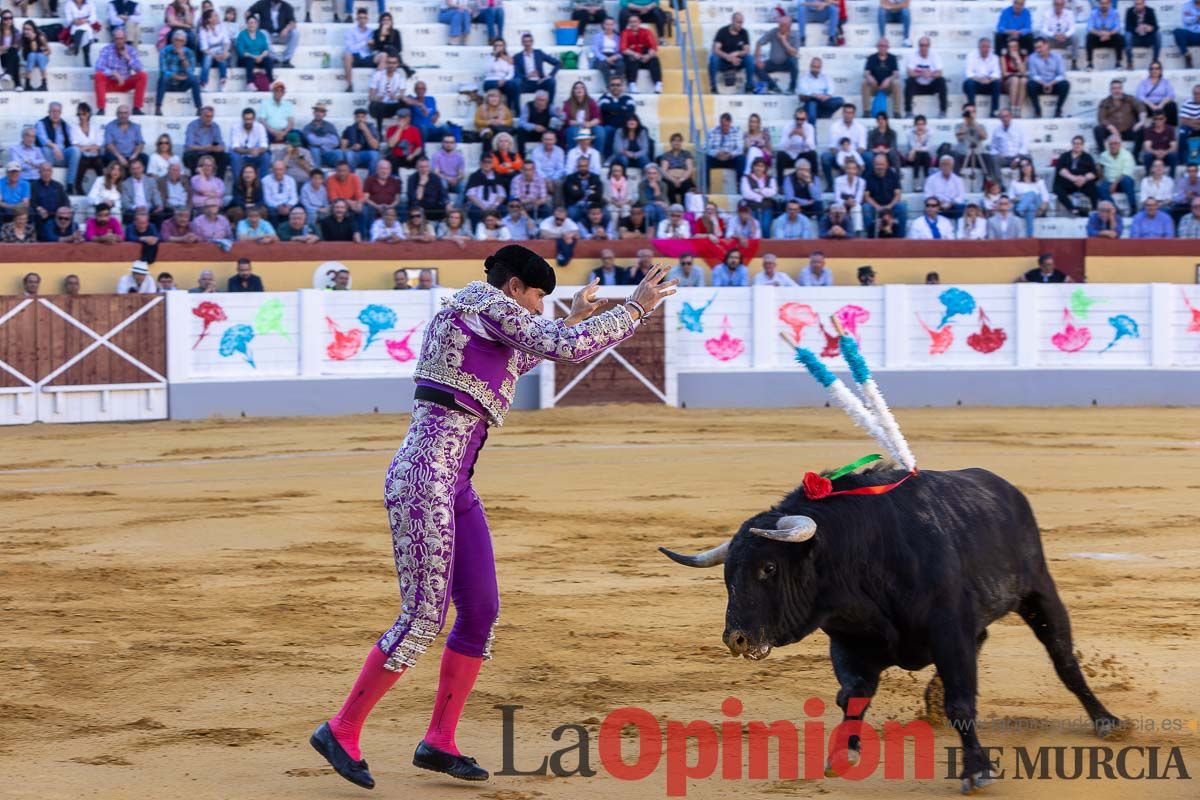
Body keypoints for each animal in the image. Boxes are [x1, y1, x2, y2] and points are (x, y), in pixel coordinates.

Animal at [662, 465, 1118, 791]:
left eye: (769, 568)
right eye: (728, 576)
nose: (736, 639)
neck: (860, 553)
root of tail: (1006, 490)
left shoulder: (950, 631)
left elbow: (962, 702)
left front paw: (976, 770)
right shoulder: (849, 641)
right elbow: (852, 696)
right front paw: (843, 753)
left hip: (1040, 591)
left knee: (1063, 659)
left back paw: (1106, 721)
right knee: (986, 638)